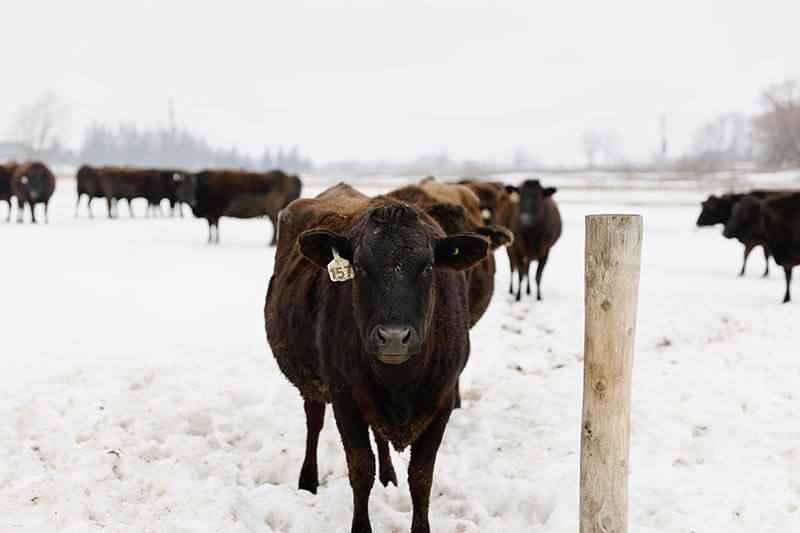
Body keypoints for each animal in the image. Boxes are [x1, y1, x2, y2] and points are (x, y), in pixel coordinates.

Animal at [264, 184, 488, 532]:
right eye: (358, 267)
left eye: (428, 267)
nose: (393, 337)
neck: (399, 385)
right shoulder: (344, 399)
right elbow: (360, 469)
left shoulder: (443, 400)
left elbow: (421, 476)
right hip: (313, 383)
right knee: (314, 422)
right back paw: (308, 480)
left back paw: (389, 476)